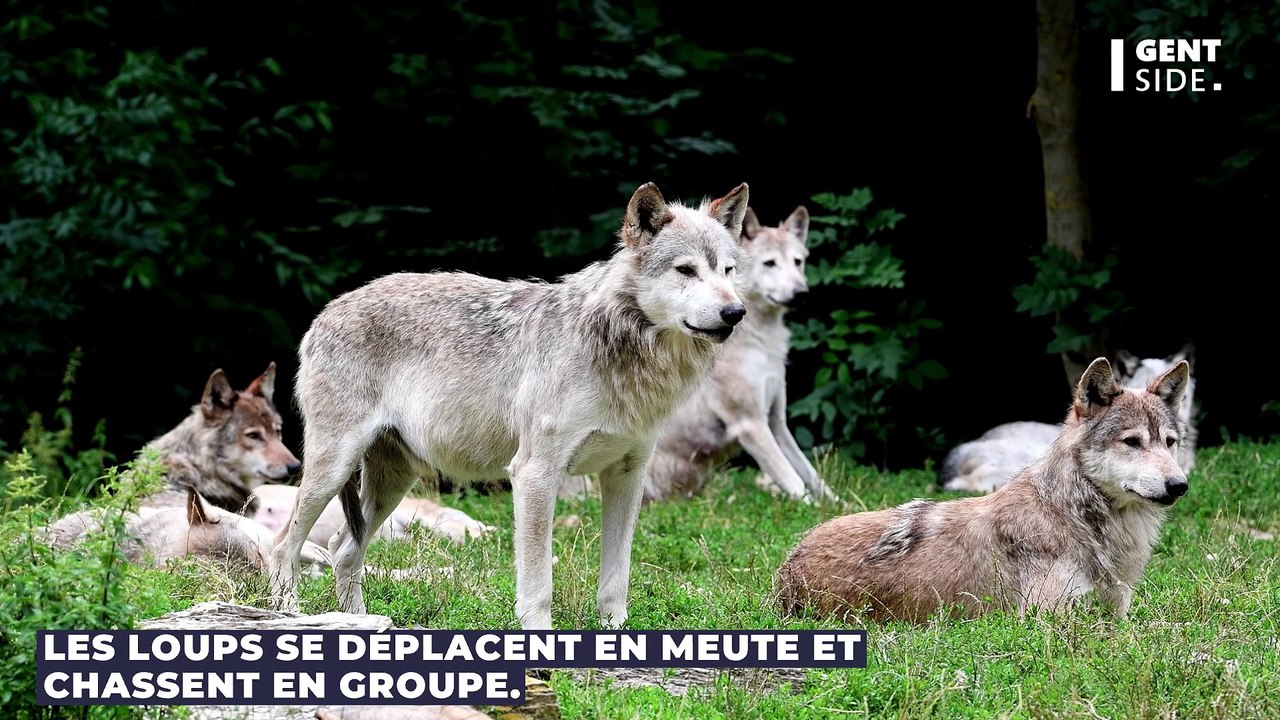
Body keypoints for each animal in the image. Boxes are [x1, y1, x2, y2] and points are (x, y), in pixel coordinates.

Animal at [269, 181, 752, 630]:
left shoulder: (627, 477)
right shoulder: (534, 474)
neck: (621, 352)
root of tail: (325, 313)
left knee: (343, 551)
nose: (736, 313)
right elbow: (538, 585)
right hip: (332, 471)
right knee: (283, 546)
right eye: (686, 270)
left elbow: (616, 581)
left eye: (727, 271)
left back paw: (362, 622)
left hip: (391, 482)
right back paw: (288, 614)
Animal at [641, 205, 835, 503]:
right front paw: (812, 508)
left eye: (798, 262)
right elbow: (795, 483)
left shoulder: (777, 424)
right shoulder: (751, 425)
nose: (801, 293)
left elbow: (812, 476)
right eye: (770, 263)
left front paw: (842, 505)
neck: (761, 342)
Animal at [774, 356, 1190, 624]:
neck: (1073, 514)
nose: (1179, 485)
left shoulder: (1117, 611)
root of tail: (786, 571)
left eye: (1169, 443)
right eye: (1132, 442)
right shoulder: (1047, 618)